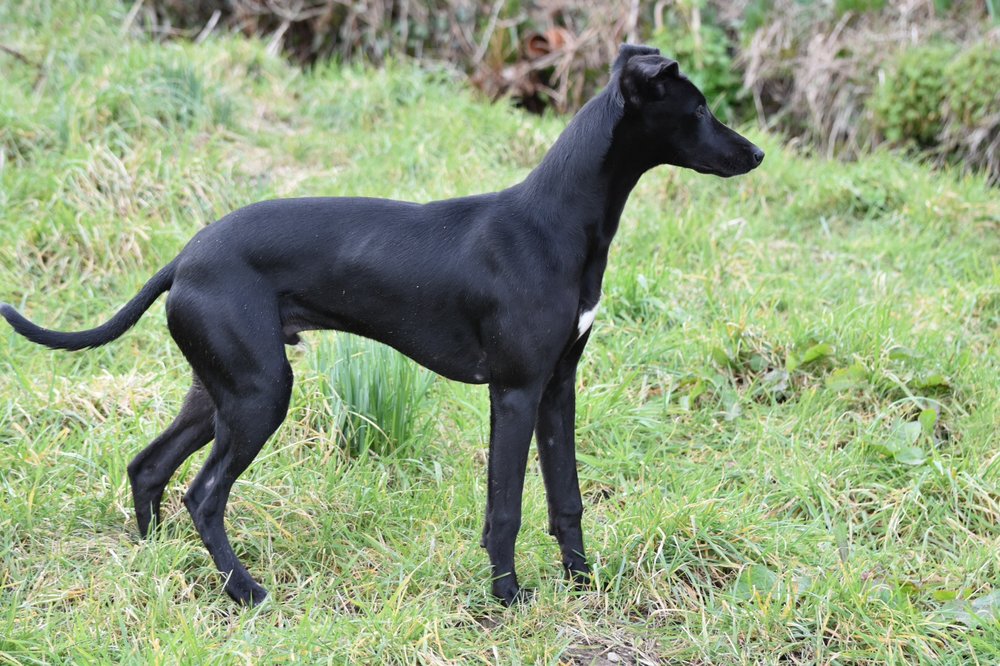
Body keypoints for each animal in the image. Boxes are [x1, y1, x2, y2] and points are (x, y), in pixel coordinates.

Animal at [1, 45, 763, 606]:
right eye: (698, 107)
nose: (757, 156)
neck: (553, 223)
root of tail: (185, 258)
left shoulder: (558, 389)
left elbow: (566, 498)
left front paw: (582, 584)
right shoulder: (514, 392)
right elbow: (506, 507)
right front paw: (507, 599)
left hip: (219, 391)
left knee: (148, 467)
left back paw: (157, 561)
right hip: (258, 398)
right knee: (204, 494)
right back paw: (246, 591)